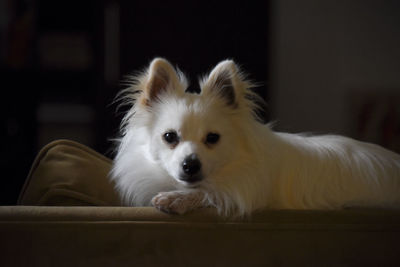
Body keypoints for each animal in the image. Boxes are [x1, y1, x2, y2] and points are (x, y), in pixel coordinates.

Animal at [111, 57, 400, 217]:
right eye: (169, 137)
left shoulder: (242, 190)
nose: (190, 165)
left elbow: (212, 192)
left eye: (213, 138)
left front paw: (177, 199)